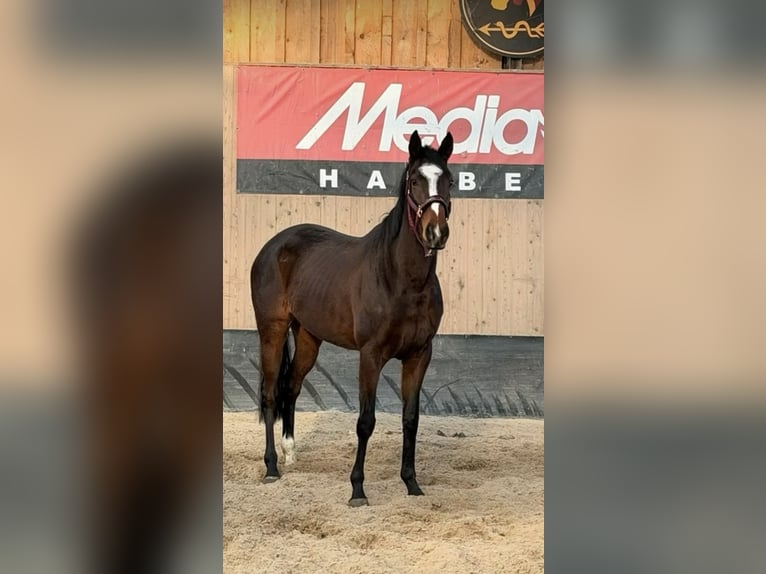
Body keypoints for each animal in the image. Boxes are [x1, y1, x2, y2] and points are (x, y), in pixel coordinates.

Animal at [250, 130, 454, 506]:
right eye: (415, 179)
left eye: (448, 179)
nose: (436, 233)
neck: (400, 279)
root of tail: (273, 246)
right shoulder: (370, 356)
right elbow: (365, 421)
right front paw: (357, 489)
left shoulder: (419, 355)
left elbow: (411, 419)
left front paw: (412, 484)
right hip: (272, 330)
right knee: (270, 392)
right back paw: (271, 467)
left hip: (307, 338)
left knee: (291, 386)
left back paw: (290, 453)